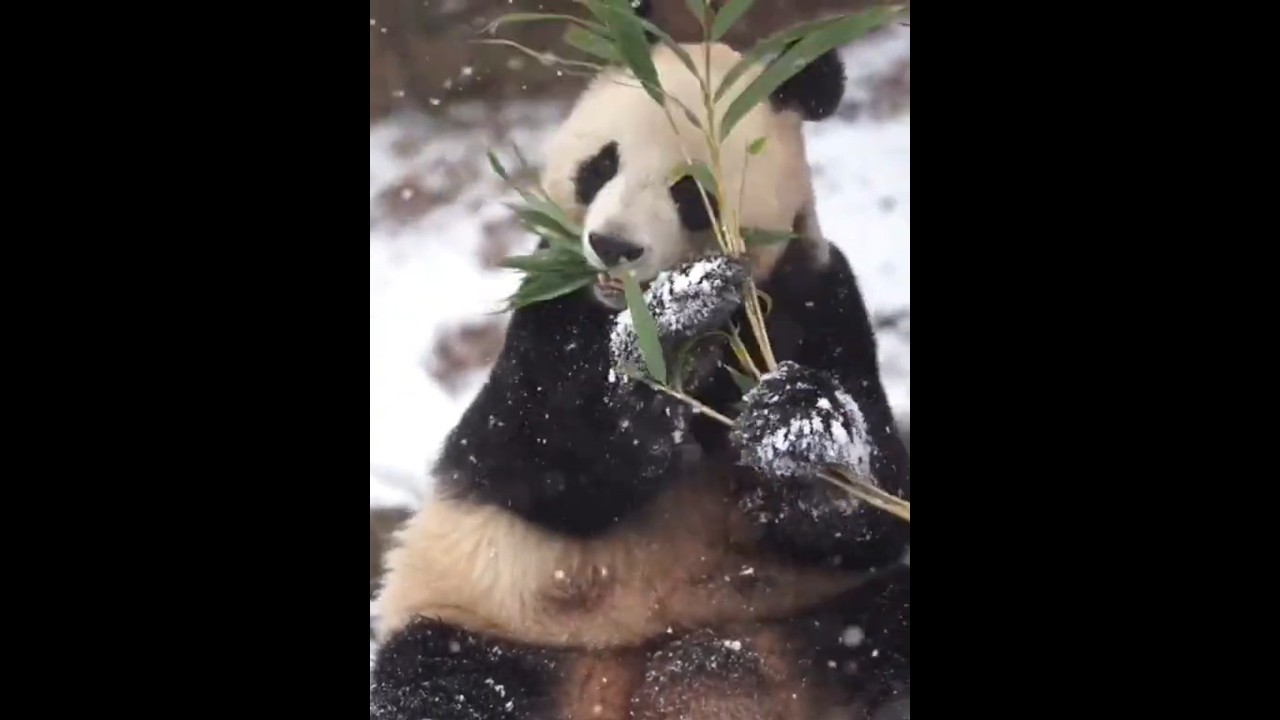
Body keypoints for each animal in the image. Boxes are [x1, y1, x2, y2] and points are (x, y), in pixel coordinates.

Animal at [370, 4, 910, 719]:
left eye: (690, 193)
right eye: (601, 164)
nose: (612, 244)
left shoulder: (817, 296)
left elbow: (869, 506)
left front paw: (798, 429)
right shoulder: (549, 306)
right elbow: (532, 455)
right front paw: (668, 328)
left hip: (811, 628)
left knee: (882, 630)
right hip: (490, 621)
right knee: (443, 680)